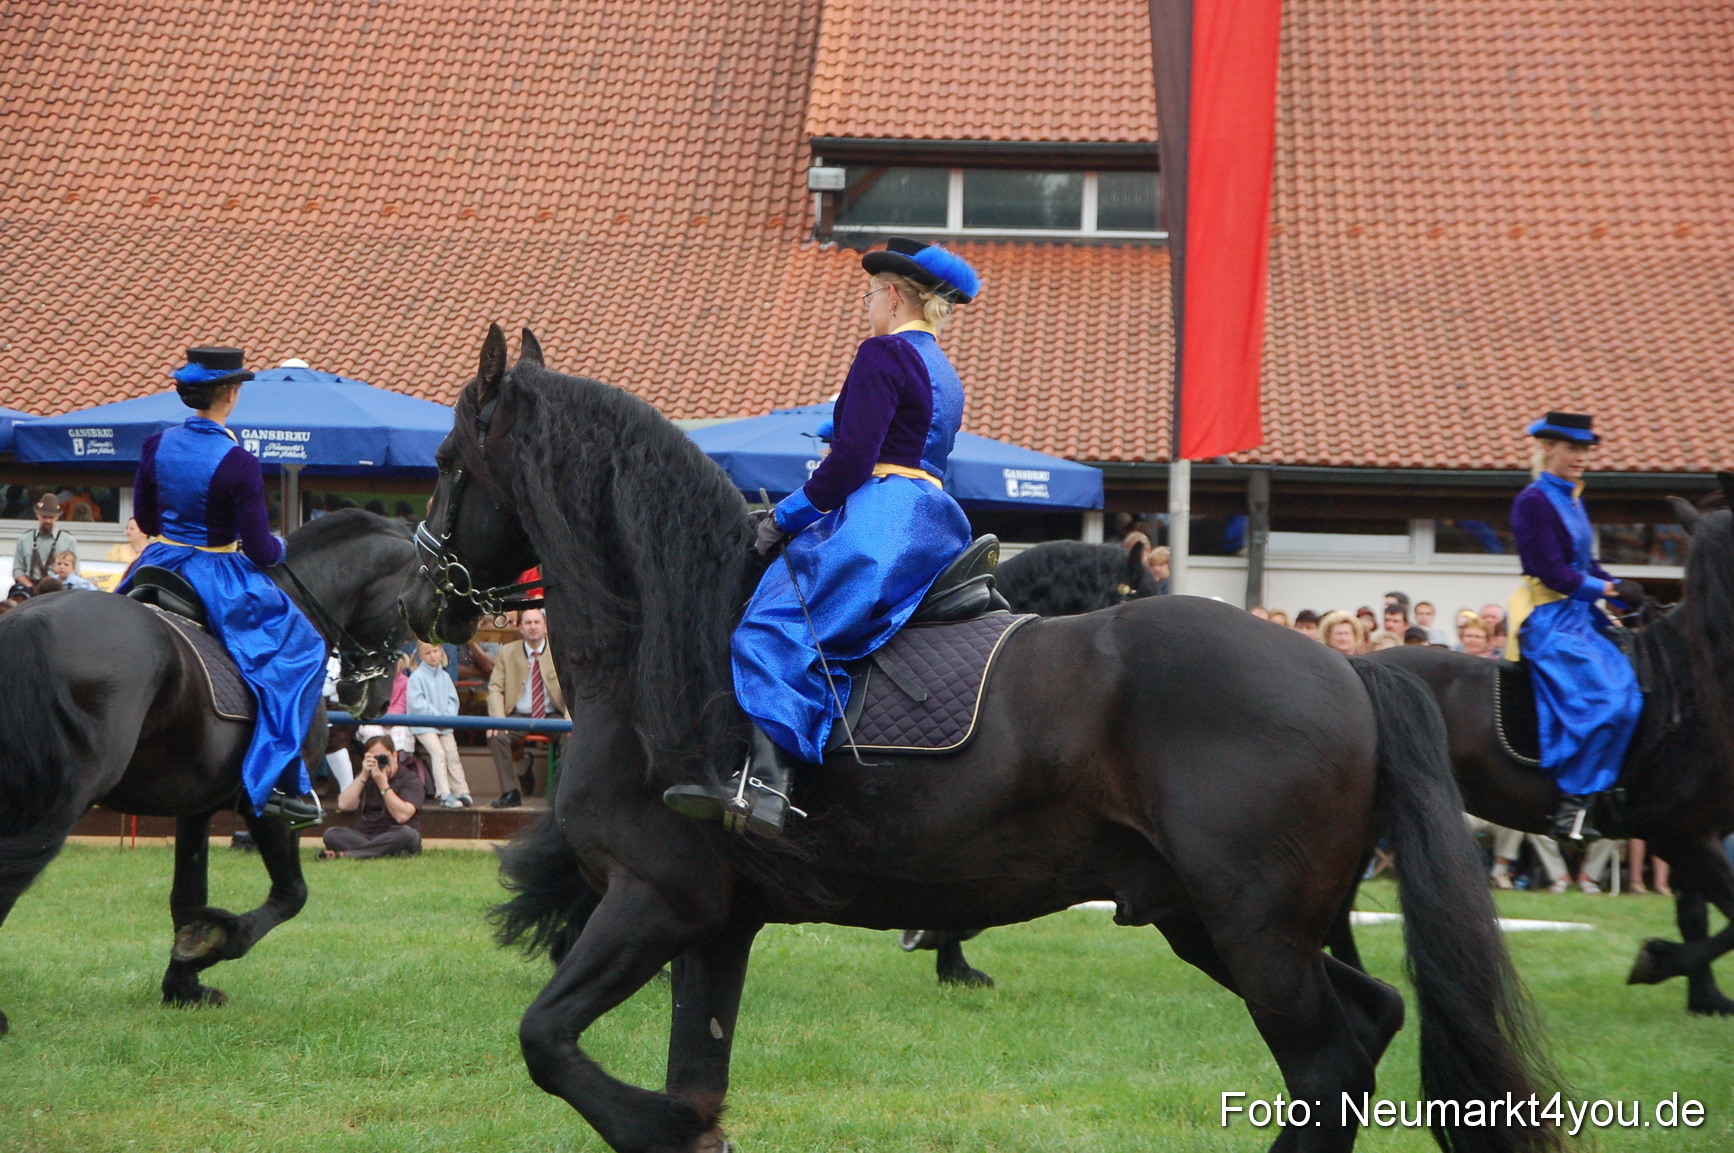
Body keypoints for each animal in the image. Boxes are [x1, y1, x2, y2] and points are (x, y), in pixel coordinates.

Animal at [0, 509, 415, 1032]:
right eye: (405, 611)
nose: (374, 698)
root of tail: (29, 621)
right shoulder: (269, 805)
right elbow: (291, 894)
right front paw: (214, 942)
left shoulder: (195, 805)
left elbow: (187, 894)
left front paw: (183, 985)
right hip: (58, 800)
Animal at [400, 326, 1563, 1153]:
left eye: (449, 459)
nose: (418, 598)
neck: (668, 648)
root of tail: (1345, 665)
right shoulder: (716, 925)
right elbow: (689, 1068)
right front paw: (690, 1121)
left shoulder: (657, 900)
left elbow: (548, 1043)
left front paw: (665, 1123)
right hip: (1219, 921)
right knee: (1370, 1027)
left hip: (1257, 932)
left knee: (1326, 1069)